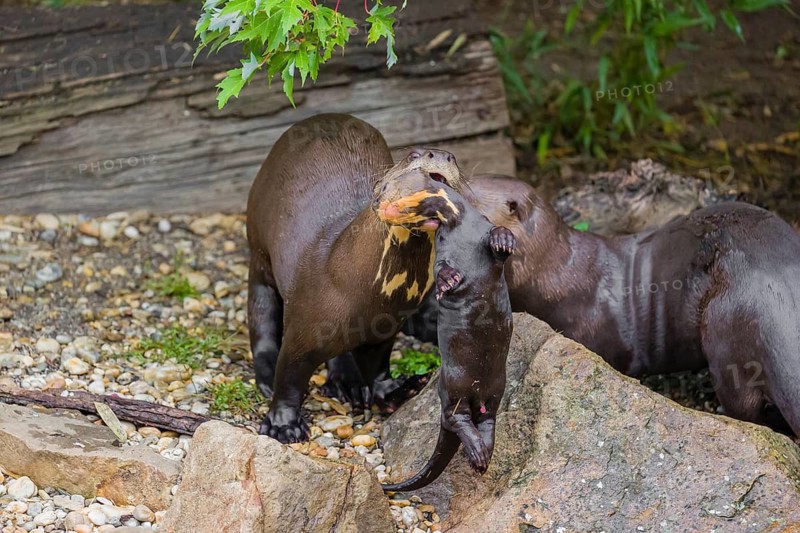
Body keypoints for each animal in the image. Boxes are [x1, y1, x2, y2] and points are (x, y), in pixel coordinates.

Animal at [246, 113, 465, 441]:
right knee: (261, 311)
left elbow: (377, 365)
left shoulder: (386, 328)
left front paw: (393, 391)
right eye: (413, 155)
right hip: (259, 248)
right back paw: (268, 371)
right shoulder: (302, 331)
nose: (441, 154)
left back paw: (347, 382)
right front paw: (283, 423)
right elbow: (289, 377)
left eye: (452, 158)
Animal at [374, 174, 515, 492]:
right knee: (454, 418)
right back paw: (478, 453)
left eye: (387, 188)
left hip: (495, 387)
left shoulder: (486, 230)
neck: (462, 227)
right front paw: (449, 280)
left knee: (487, 418)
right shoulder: (441, 254)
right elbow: (439, 270)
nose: (377, 205)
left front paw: (504, 240)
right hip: (453, 386)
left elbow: (500, 240)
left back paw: (483, 453)